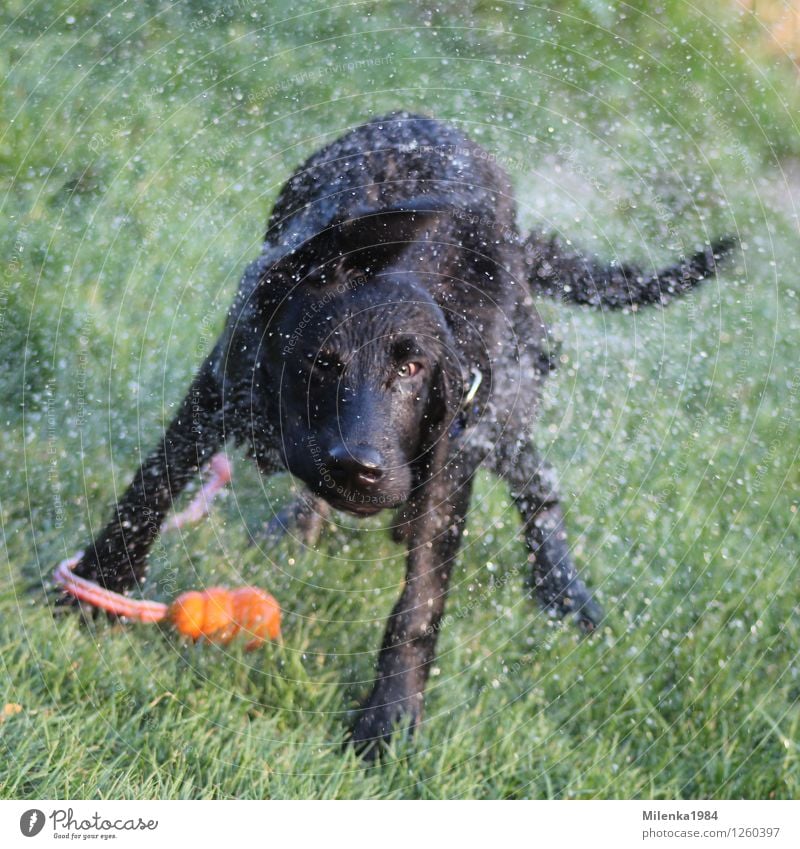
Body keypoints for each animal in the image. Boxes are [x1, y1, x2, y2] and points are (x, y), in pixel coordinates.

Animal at [67, 111, 732, 756]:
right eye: (322, 361)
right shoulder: (227, 378)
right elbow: (152, 485)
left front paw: (388, 720)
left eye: (412, 369)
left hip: (507, 405)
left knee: (539, 482)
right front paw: (98, 586)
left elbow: (419, 605)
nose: (360, 467)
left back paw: (562, 590)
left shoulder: (454, 451)